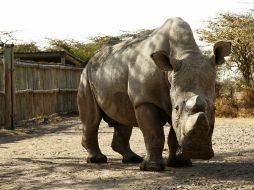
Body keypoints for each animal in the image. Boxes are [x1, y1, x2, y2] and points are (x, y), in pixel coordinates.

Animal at [77, 17, 230, 171]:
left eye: (214, 109)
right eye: (177, 108)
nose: (197, 151)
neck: (183, 53)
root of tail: (91, 59)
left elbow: (174, 134)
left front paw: (179, 164)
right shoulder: (145, 100)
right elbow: (154, 134)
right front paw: (153, 168)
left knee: (123, 117)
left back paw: (132, 159)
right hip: (85, 77)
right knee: (92, 119)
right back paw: (97, 159)